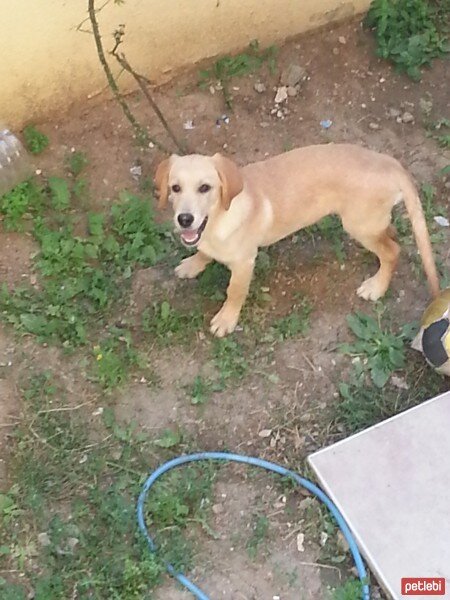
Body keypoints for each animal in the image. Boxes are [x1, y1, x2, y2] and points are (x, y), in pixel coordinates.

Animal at [155, 142, 440, 336]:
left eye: (205, 188)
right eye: (175, 188)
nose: (185, 219)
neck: (217, 221)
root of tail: (389, 163)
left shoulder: (245, 262)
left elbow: (234, 292)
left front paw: (227, 319)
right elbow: (203, 250)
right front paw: (194, 263)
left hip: (359, 225)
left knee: (392, 251)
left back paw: (377, 287)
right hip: (372, 223)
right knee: (391, 236)